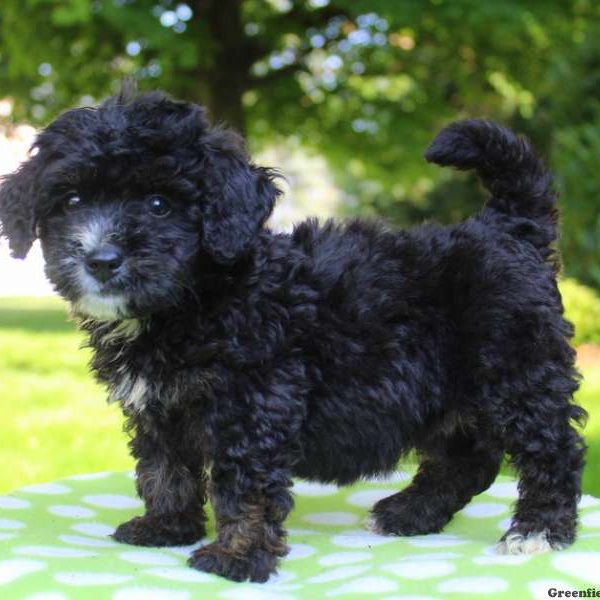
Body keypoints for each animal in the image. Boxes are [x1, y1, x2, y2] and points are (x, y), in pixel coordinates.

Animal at [0, 88, 584, 580]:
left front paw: (235, 556)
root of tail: (507, 227)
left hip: (518, 372)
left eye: (160, 204)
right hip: (448, 391)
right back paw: (410, 513)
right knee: (469, 459)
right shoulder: (159, 407)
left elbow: (244, 483)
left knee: (553, 450)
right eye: (72, 202)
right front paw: (165, 526)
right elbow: (165, 467)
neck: (199, 297)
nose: (101, 259)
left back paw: (537, 531)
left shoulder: (254, 403)